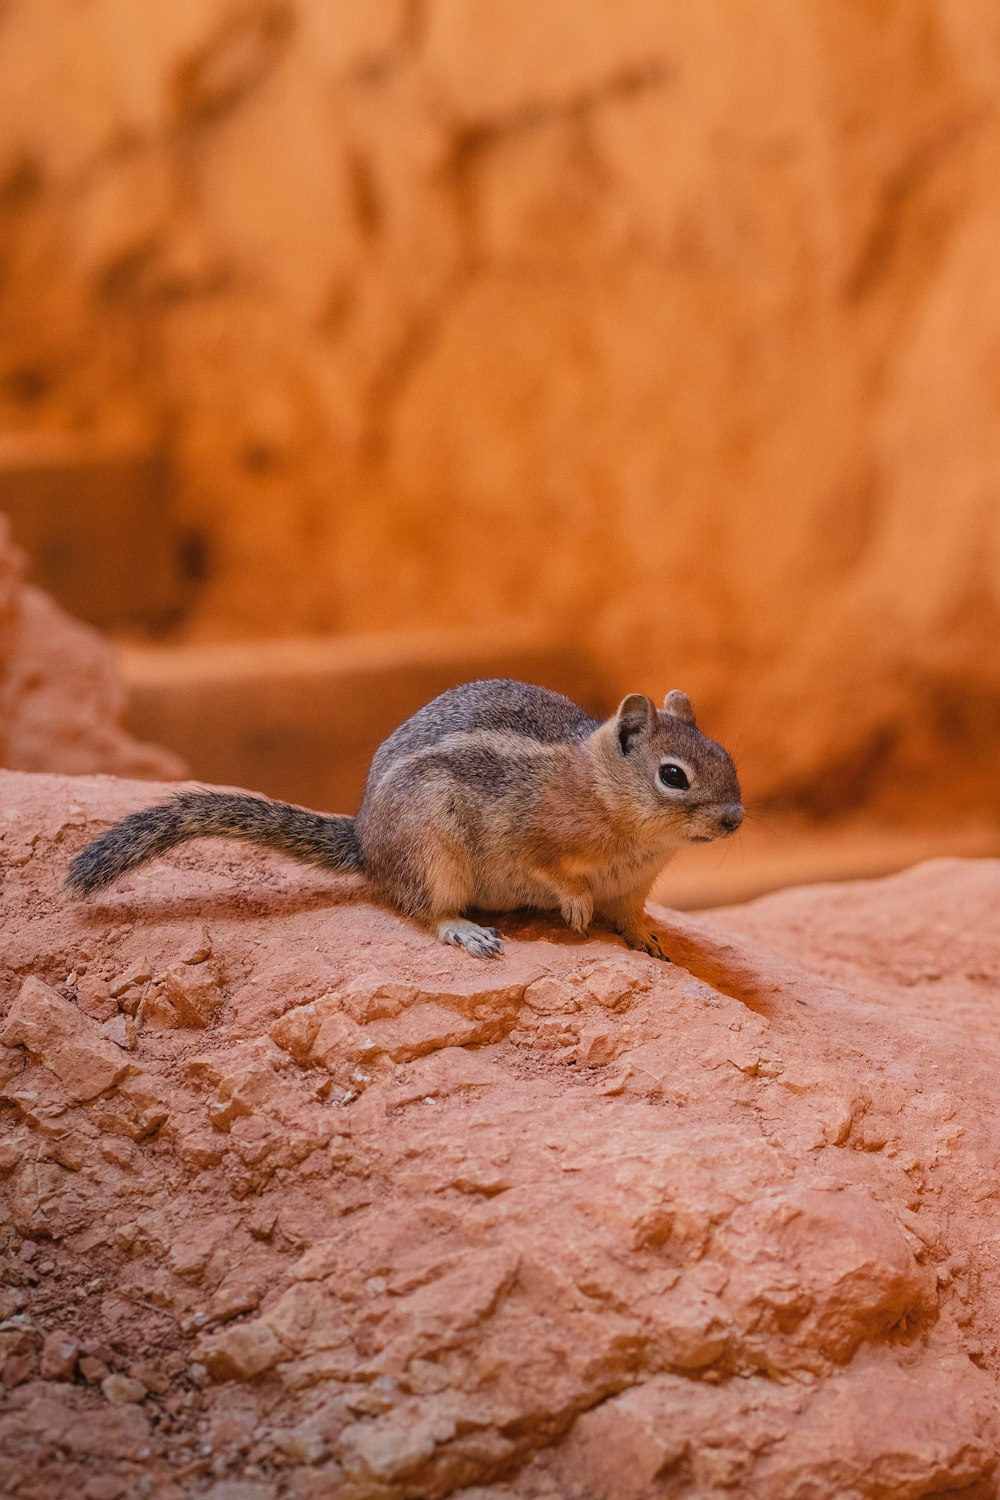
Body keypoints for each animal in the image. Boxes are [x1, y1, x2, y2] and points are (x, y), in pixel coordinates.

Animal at [66, 681, 743, 960]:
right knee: (425, 909)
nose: (736, 820)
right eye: (673, 775)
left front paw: (649, 939)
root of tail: (366, 841)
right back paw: (467, 932)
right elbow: (550, 870)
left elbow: (630, 916)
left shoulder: (633, 887)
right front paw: (575, 905)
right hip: (433, 852)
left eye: (727, 754)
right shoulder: (529, 833)